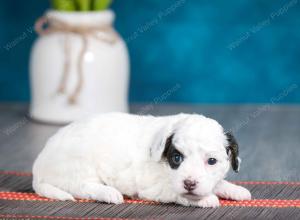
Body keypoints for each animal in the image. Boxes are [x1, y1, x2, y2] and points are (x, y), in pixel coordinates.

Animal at [32, 112, 251, 207]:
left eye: (211, 161)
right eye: (177, 158)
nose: (189, 183)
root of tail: (38, 168)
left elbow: (217, 182)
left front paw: (235, 189)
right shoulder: (153, 187)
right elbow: (176, 192)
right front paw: (206, 199)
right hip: (80, 166)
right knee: (82, 187)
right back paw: (109, 193)